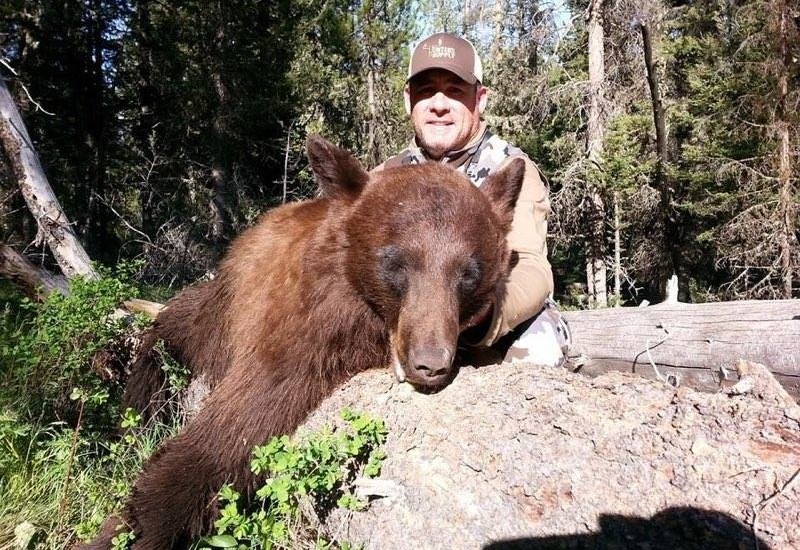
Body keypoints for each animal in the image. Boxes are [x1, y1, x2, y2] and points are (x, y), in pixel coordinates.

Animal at [87, 135, 524, 550]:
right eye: (395, 262)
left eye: (469, 273)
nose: (429, 363)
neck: (360, 323)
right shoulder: (296, 329)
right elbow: (230, 429)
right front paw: (122, 531)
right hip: (219, 307)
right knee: (170, 333)